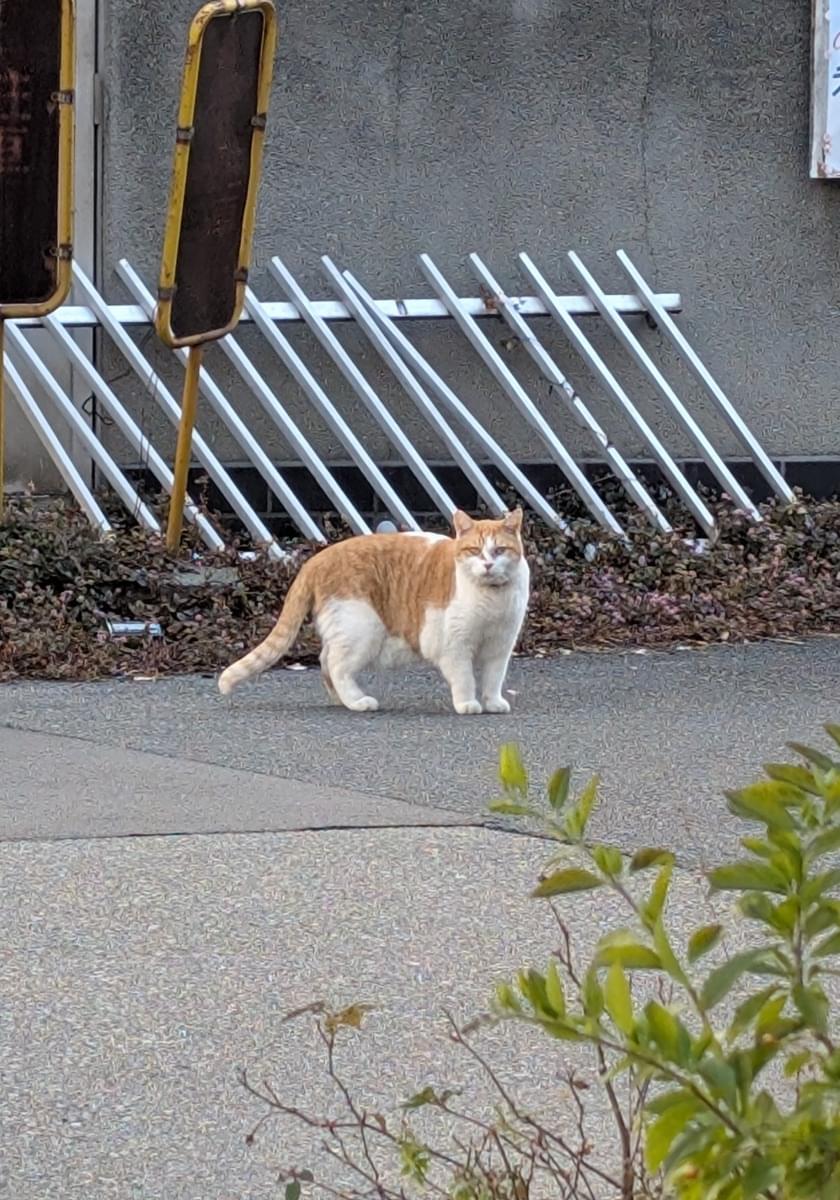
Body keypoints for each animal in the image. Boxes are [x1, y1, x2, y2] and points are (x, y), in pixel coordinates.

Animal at [218, 508, 529, 714]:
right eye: (475, 551)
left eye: (499, 550)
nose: (488, 565)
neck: (491, 599)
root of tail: (315, 559)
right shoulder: (455, 646)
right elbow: (465, 678)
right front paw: (467, 704)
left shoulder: (500, 646)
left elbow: (493, 678)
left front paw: (492, 702)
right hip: (361, 630)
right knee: (336, 665)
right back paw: (357, 701)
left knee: (325, 660)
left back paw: (340, 700)